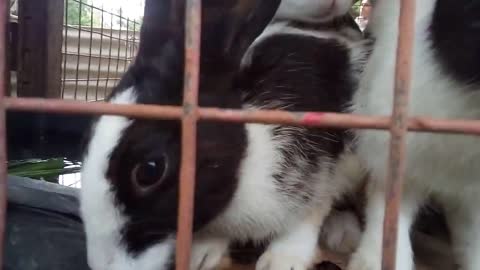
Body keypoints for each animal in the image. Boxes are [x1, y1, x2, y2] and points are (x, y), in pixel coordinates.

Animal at [81, 0, 368, 270]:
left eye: (149, 171)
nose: (101, 263)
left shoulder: (330, 168)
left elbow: (310, 213)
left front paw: (283, 259)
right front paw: (202, 254)